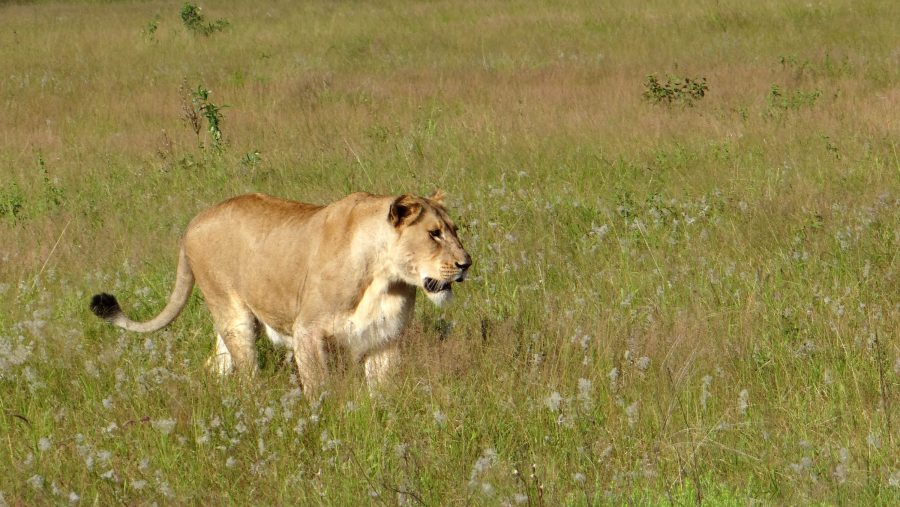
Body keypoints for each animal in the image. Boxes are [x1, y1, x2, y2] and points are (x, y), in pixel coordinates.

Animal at [90, 191, 471, 394]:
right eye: (434, 233)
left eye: (454, 230)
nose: (466, 263)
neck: (384, 276)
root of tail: (194, 222)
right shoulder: (308, 331)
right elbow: (319, 390)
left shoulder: (385, 339)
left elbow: (382, 393)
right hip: (235, 317)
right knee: (246, 375)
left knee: (215, 365)